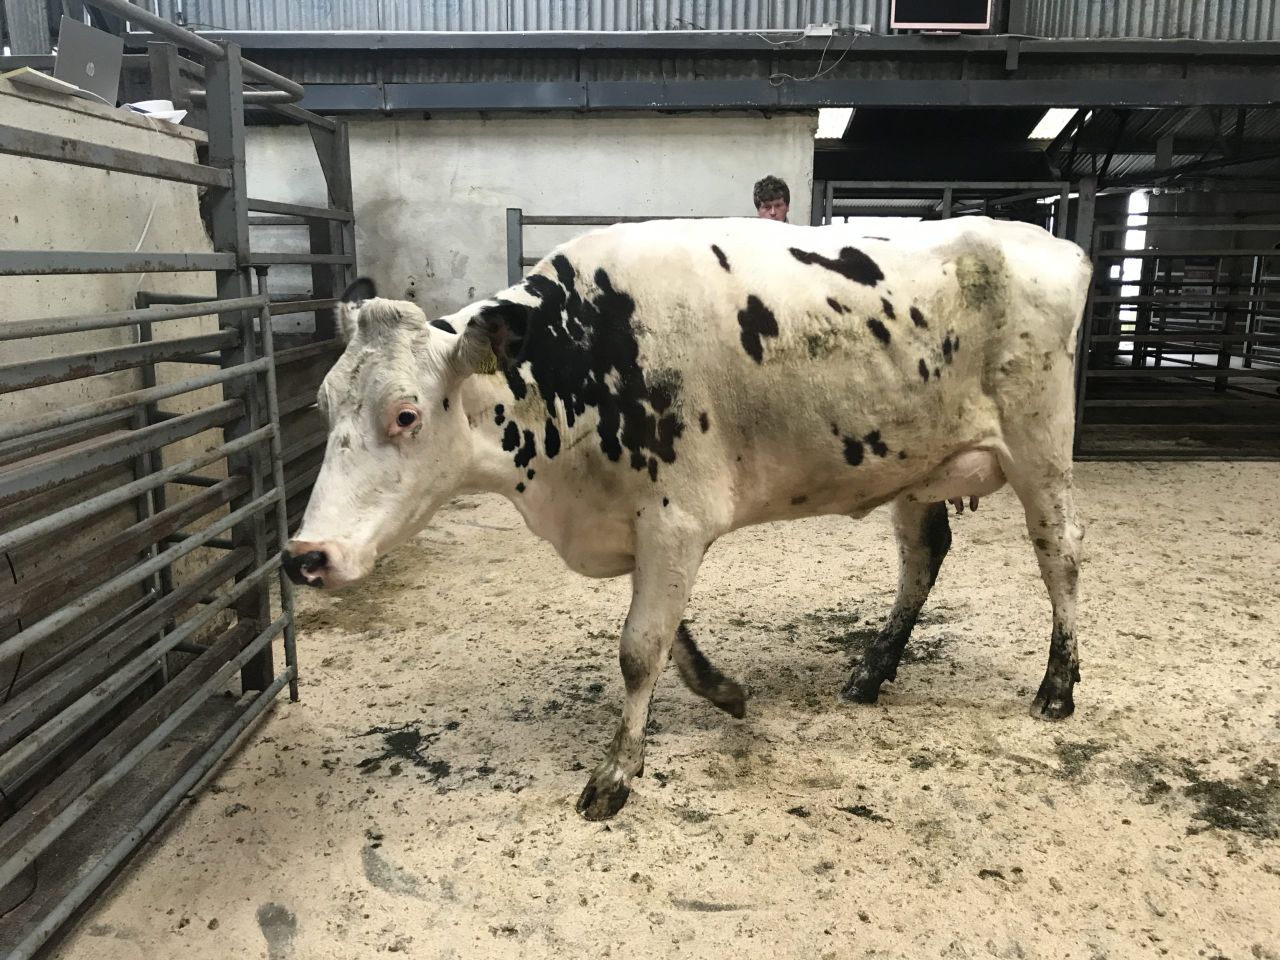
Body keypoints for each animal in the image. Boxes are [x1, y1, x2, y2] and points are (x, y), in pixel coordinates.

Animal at [282, 215, 1092, 820]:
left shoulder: (676, 518)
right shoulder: (647, 529)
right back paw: (871, 670)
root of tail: (1051, 243)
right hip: (916, 465)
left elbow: (640, 648)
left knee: (1061, 553)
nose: (305, 555)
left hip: (1040, 449)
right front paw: (722, 689)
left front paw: (617, 771)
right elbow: (671, 637)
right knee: (923, 556)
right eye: (322, 402)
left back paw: (1057, 686)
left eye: (406, 414)